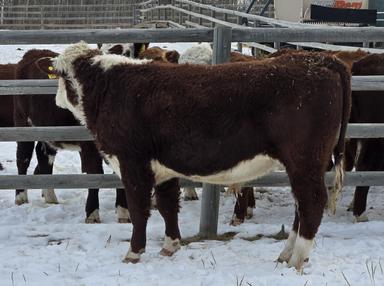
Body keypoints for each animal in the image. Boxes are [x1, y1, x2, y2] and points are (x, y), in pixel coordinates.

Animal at [39, 42, 352, 270]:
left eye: (62, 76)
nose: (55, 100)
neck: (109, 88)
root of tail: (319, 59)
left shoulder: (132, 163)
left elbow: (139, 210)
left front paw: (134, 252)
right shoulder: (162, 168)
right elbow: (167, 207)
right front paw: (170, 246)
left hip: (304, 160)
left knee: (311, 203)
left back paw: (297, 260)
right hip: (302, 164)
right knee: (301, 206)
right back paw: (286, 254)